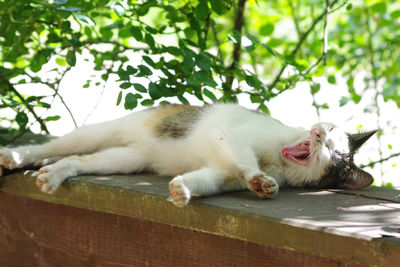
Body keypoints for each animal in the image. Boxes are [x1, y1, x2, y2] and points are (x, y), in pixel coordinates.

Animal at [0, 104, 376, 207]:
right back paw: (16, 156)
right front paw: (259, 178)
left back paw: (54, 174)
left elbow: (208, 181)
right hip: (106, 130)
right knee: (56, 146)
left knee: (78, 160)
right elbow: (245, 158)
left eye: (333, 153)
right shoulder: (232, 136)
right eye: (328, 127)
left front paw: (182, 189)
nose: (318, 133)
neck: (277, 159)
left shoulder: (222, 174)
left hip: (126, 158)